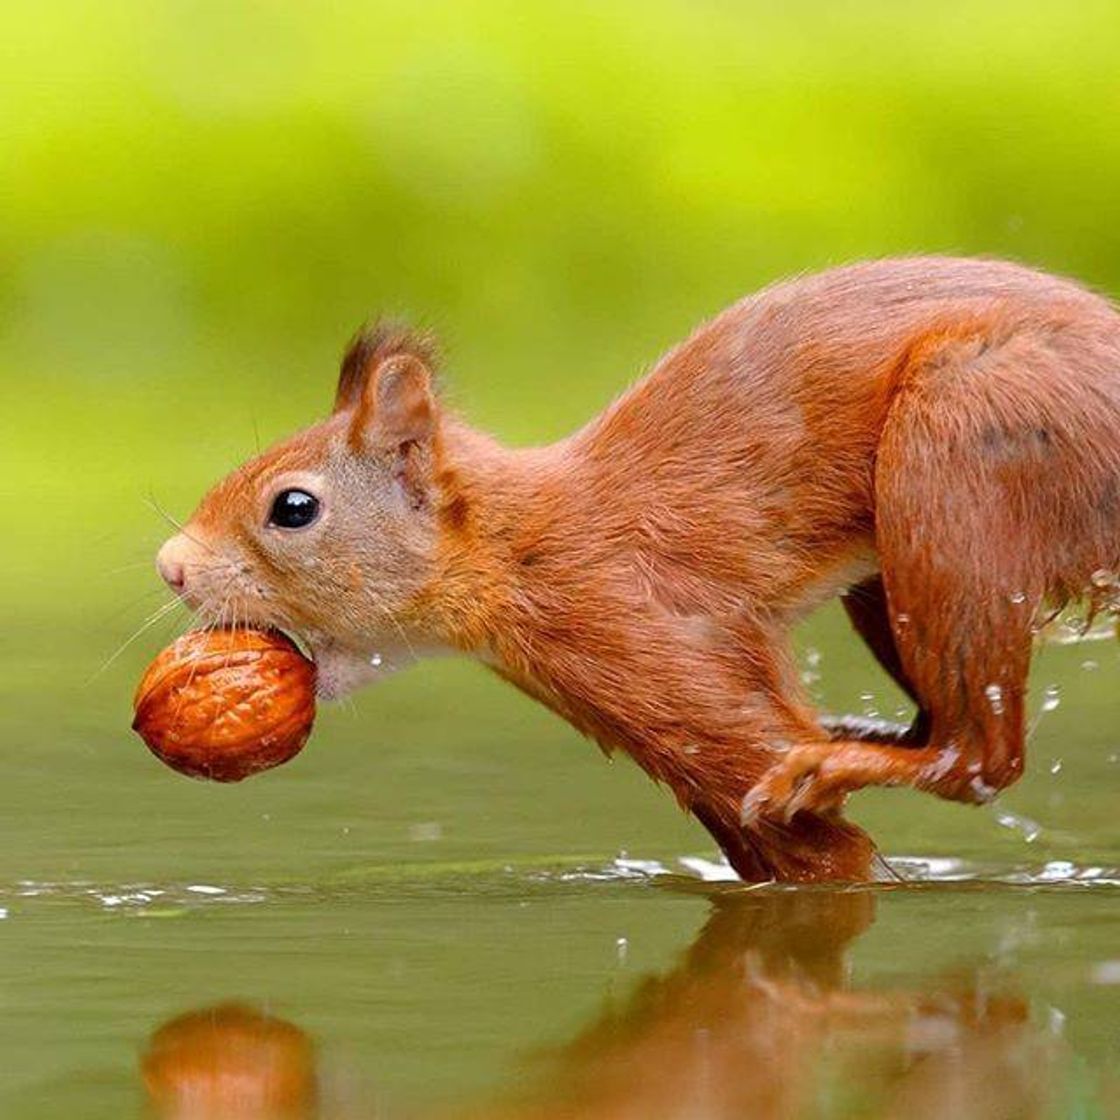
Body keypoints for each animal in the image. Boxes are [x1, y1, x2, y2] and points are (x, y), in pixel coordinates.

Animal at [155, 257, 1120, 878]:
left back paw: (839, 759)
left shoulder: (645, 642)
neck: (521, 548)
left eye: (293, 509)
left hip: (959, 450)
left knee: (980, 760)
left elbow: (830, 855)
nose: (171, 567)